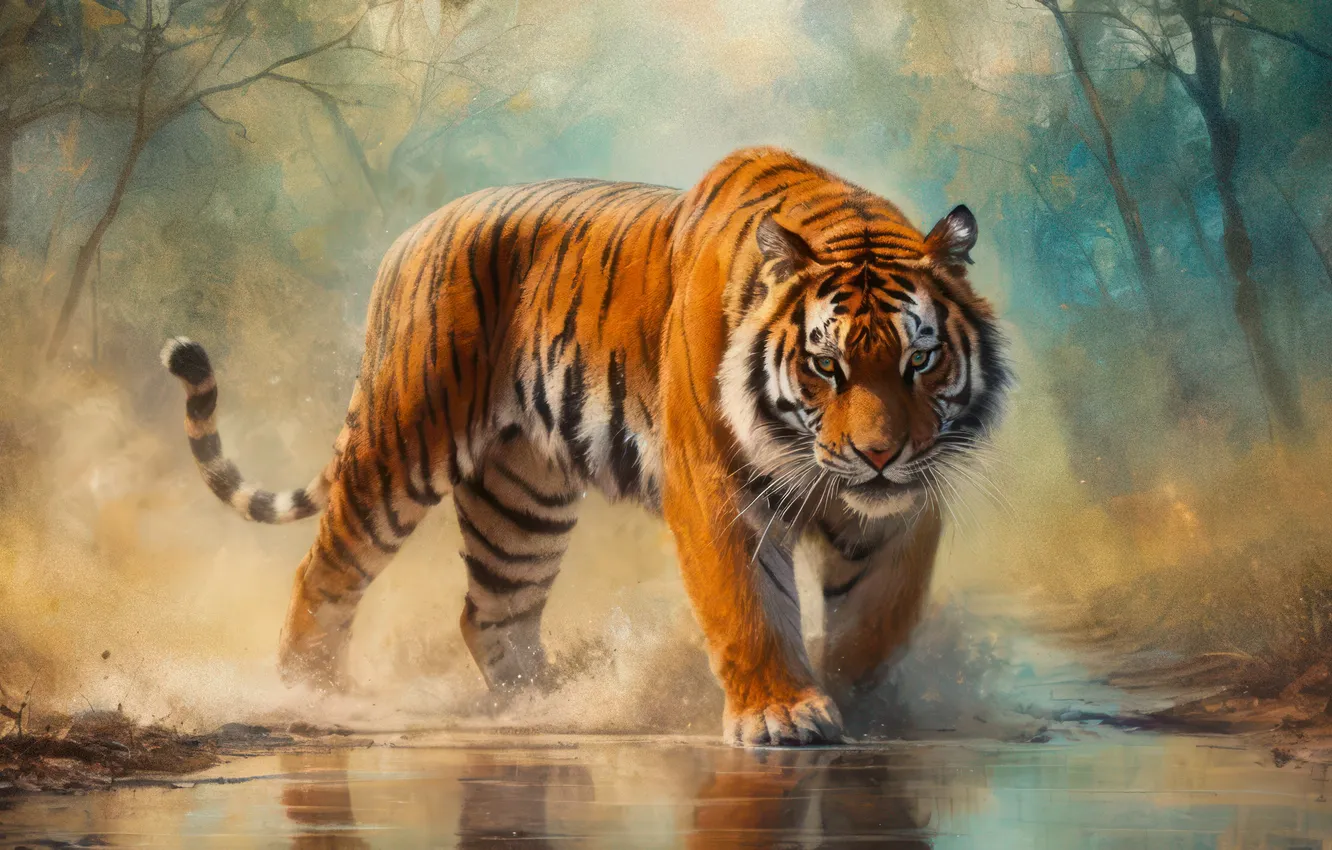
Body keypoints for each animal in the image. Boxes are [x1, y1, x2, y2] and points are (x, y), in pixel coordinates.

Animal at [161, 146, 1008, 747]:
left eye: (921, 359)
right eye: (826, 365)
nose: (878, 456)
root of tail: (413, 235)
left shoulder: (903, 509)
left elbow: (878, 619)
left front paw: (863, 704)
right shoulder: (717, 488)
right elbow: (750, 608)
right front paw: (781, 714)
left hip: (520, 497)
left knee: (492, 613)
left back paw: (546, 707)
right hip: (401, 447)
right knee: (324, 574)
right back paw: (309, 694)